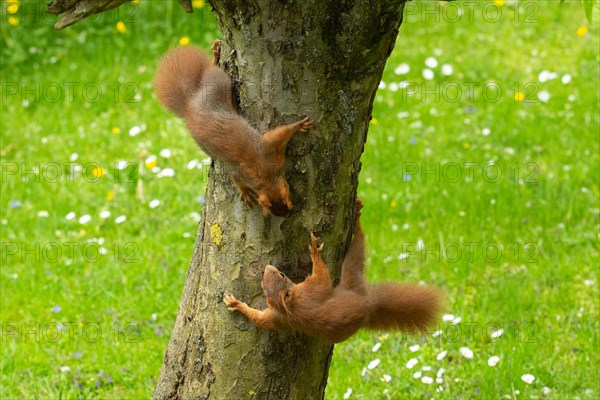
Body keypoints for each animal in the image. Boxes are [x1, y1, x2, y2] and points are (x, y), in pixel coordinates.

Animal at [154, 39, 314, 216]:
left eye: (288, 196)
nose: (286, 213)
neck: (266, 174)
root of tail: (189, 105)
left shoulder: (270, 149)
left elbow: (282, 132)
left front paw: (300, 125)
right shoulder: (251, 162)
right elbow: (237, 180)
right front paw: (245, 192)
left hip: (216, 85)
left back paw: (215, 54)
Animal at [224, 198, 440, 342]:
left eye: (278, 275)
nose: (268, 267)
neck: (290, 306)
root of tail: (370, 305)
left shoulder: (279, 318)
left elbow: (258, 318)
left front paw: (236, 304)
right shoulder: (310, 291)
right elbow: (322, 275)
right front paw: (314, 251)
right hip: (352, 274)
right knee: (357, 248)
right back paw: (357, 223)